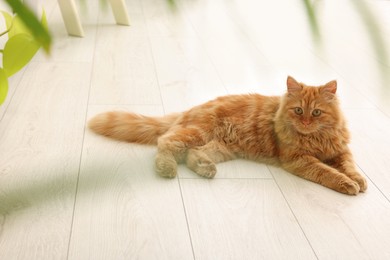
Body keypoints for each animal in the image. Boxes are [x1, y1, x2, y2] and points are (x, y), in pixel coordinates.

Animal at [89, 76, 368, 195]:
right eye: (298, 110)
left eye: (317, 112)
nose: (307, 122)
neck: (314, 138)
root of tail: (191, 108)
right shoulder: (298, 159)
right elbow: (327, 172)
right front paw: (347, 184)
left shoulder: (341, 150)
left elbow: (348, 166)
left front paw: (358, 180)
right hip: (199, 132)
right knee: (166, 142)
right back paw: (167, 168)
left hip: (219, 147)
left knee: (191, 154)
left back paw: (206, 169)